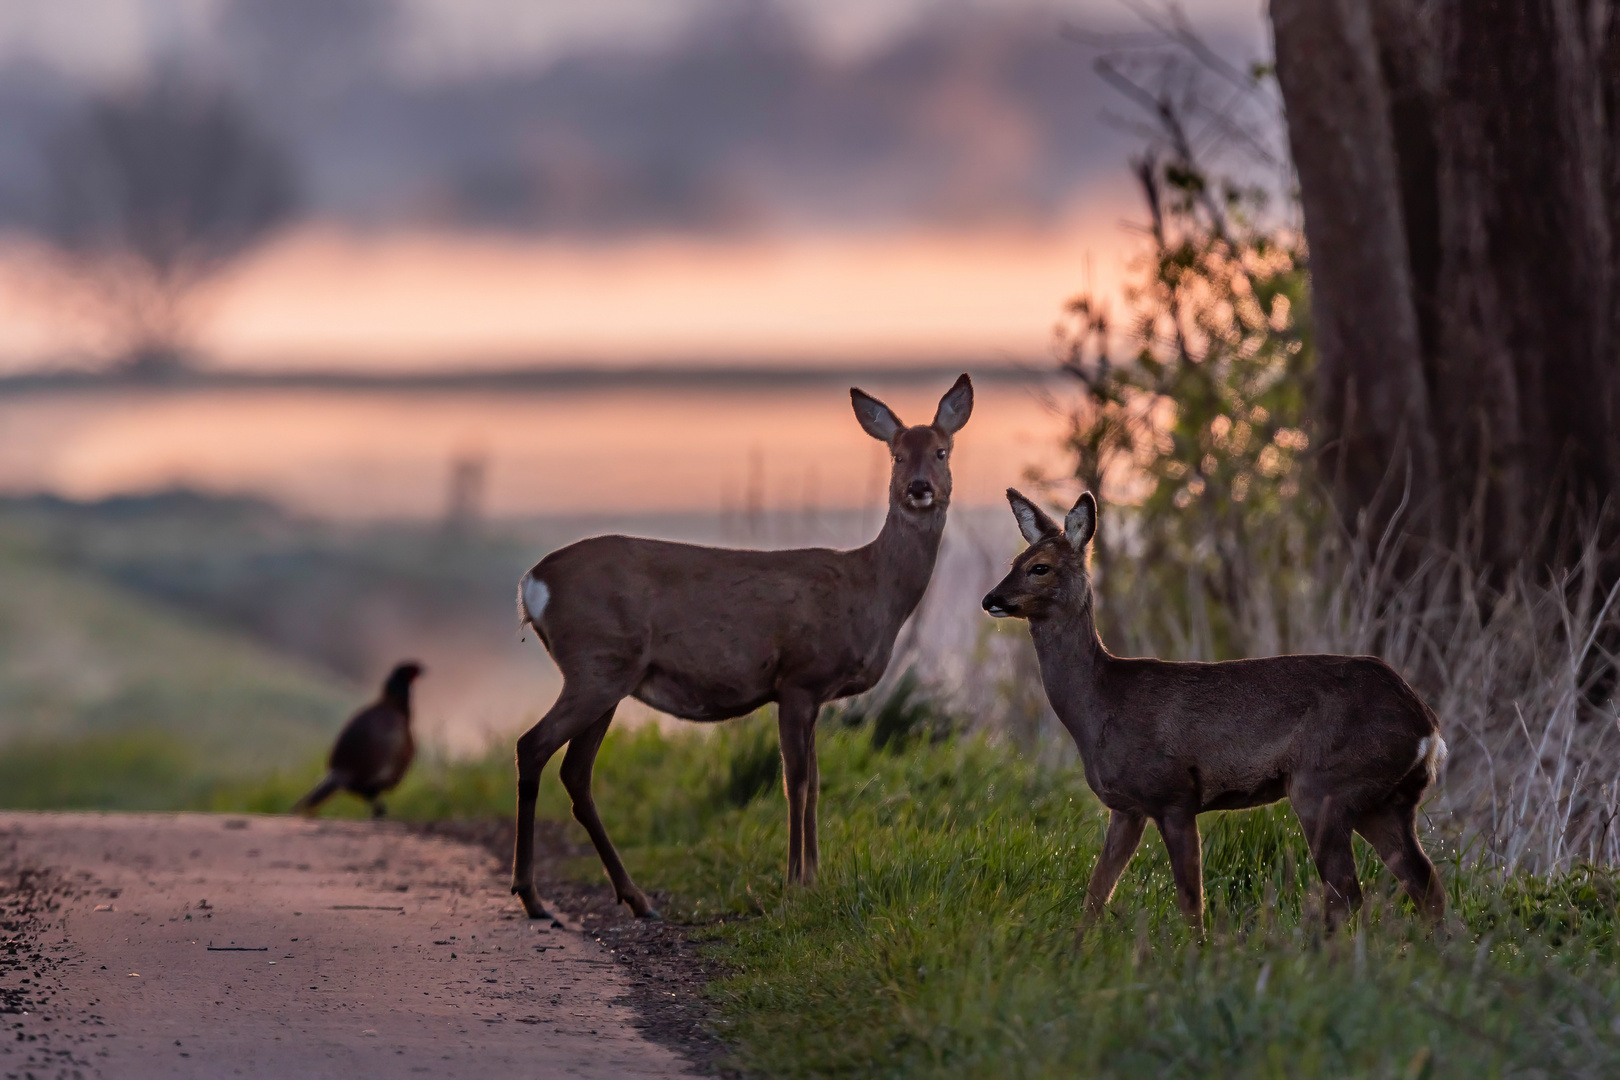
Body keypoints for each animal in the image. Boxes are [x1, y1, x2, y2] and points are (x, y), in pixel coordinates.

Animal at [511, 374, 972, 919]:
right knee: (533, 746)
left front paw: (814, 877)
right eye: (897, 455)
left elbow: (816, 783)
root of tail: (532, 583)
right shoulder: (799, 678)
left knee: (575, 772)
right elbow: (795, 782)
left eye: (942, 451)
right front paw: (796, 883)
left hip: (609, 675)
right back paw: (533, 896)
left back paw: (635, 898)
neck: (871, 590)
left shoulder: (814, 693)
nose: (919, 488)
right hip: (596, 662)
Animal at [978, 492, 1451, 939]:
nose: (991, 599)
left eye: (1039, 567)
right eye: (1013, 562)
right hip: (1386, 801)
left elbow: (1191, 900)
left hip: (1324, 784)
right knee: (1425, 883)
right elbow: (1097, 892)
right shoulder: (1127, 807)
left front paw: (1194, 955)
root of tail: (1428, 728)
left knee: (1347, 892)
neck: (1102, 706)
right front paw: (1077, 949)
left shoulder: (1173, 794)